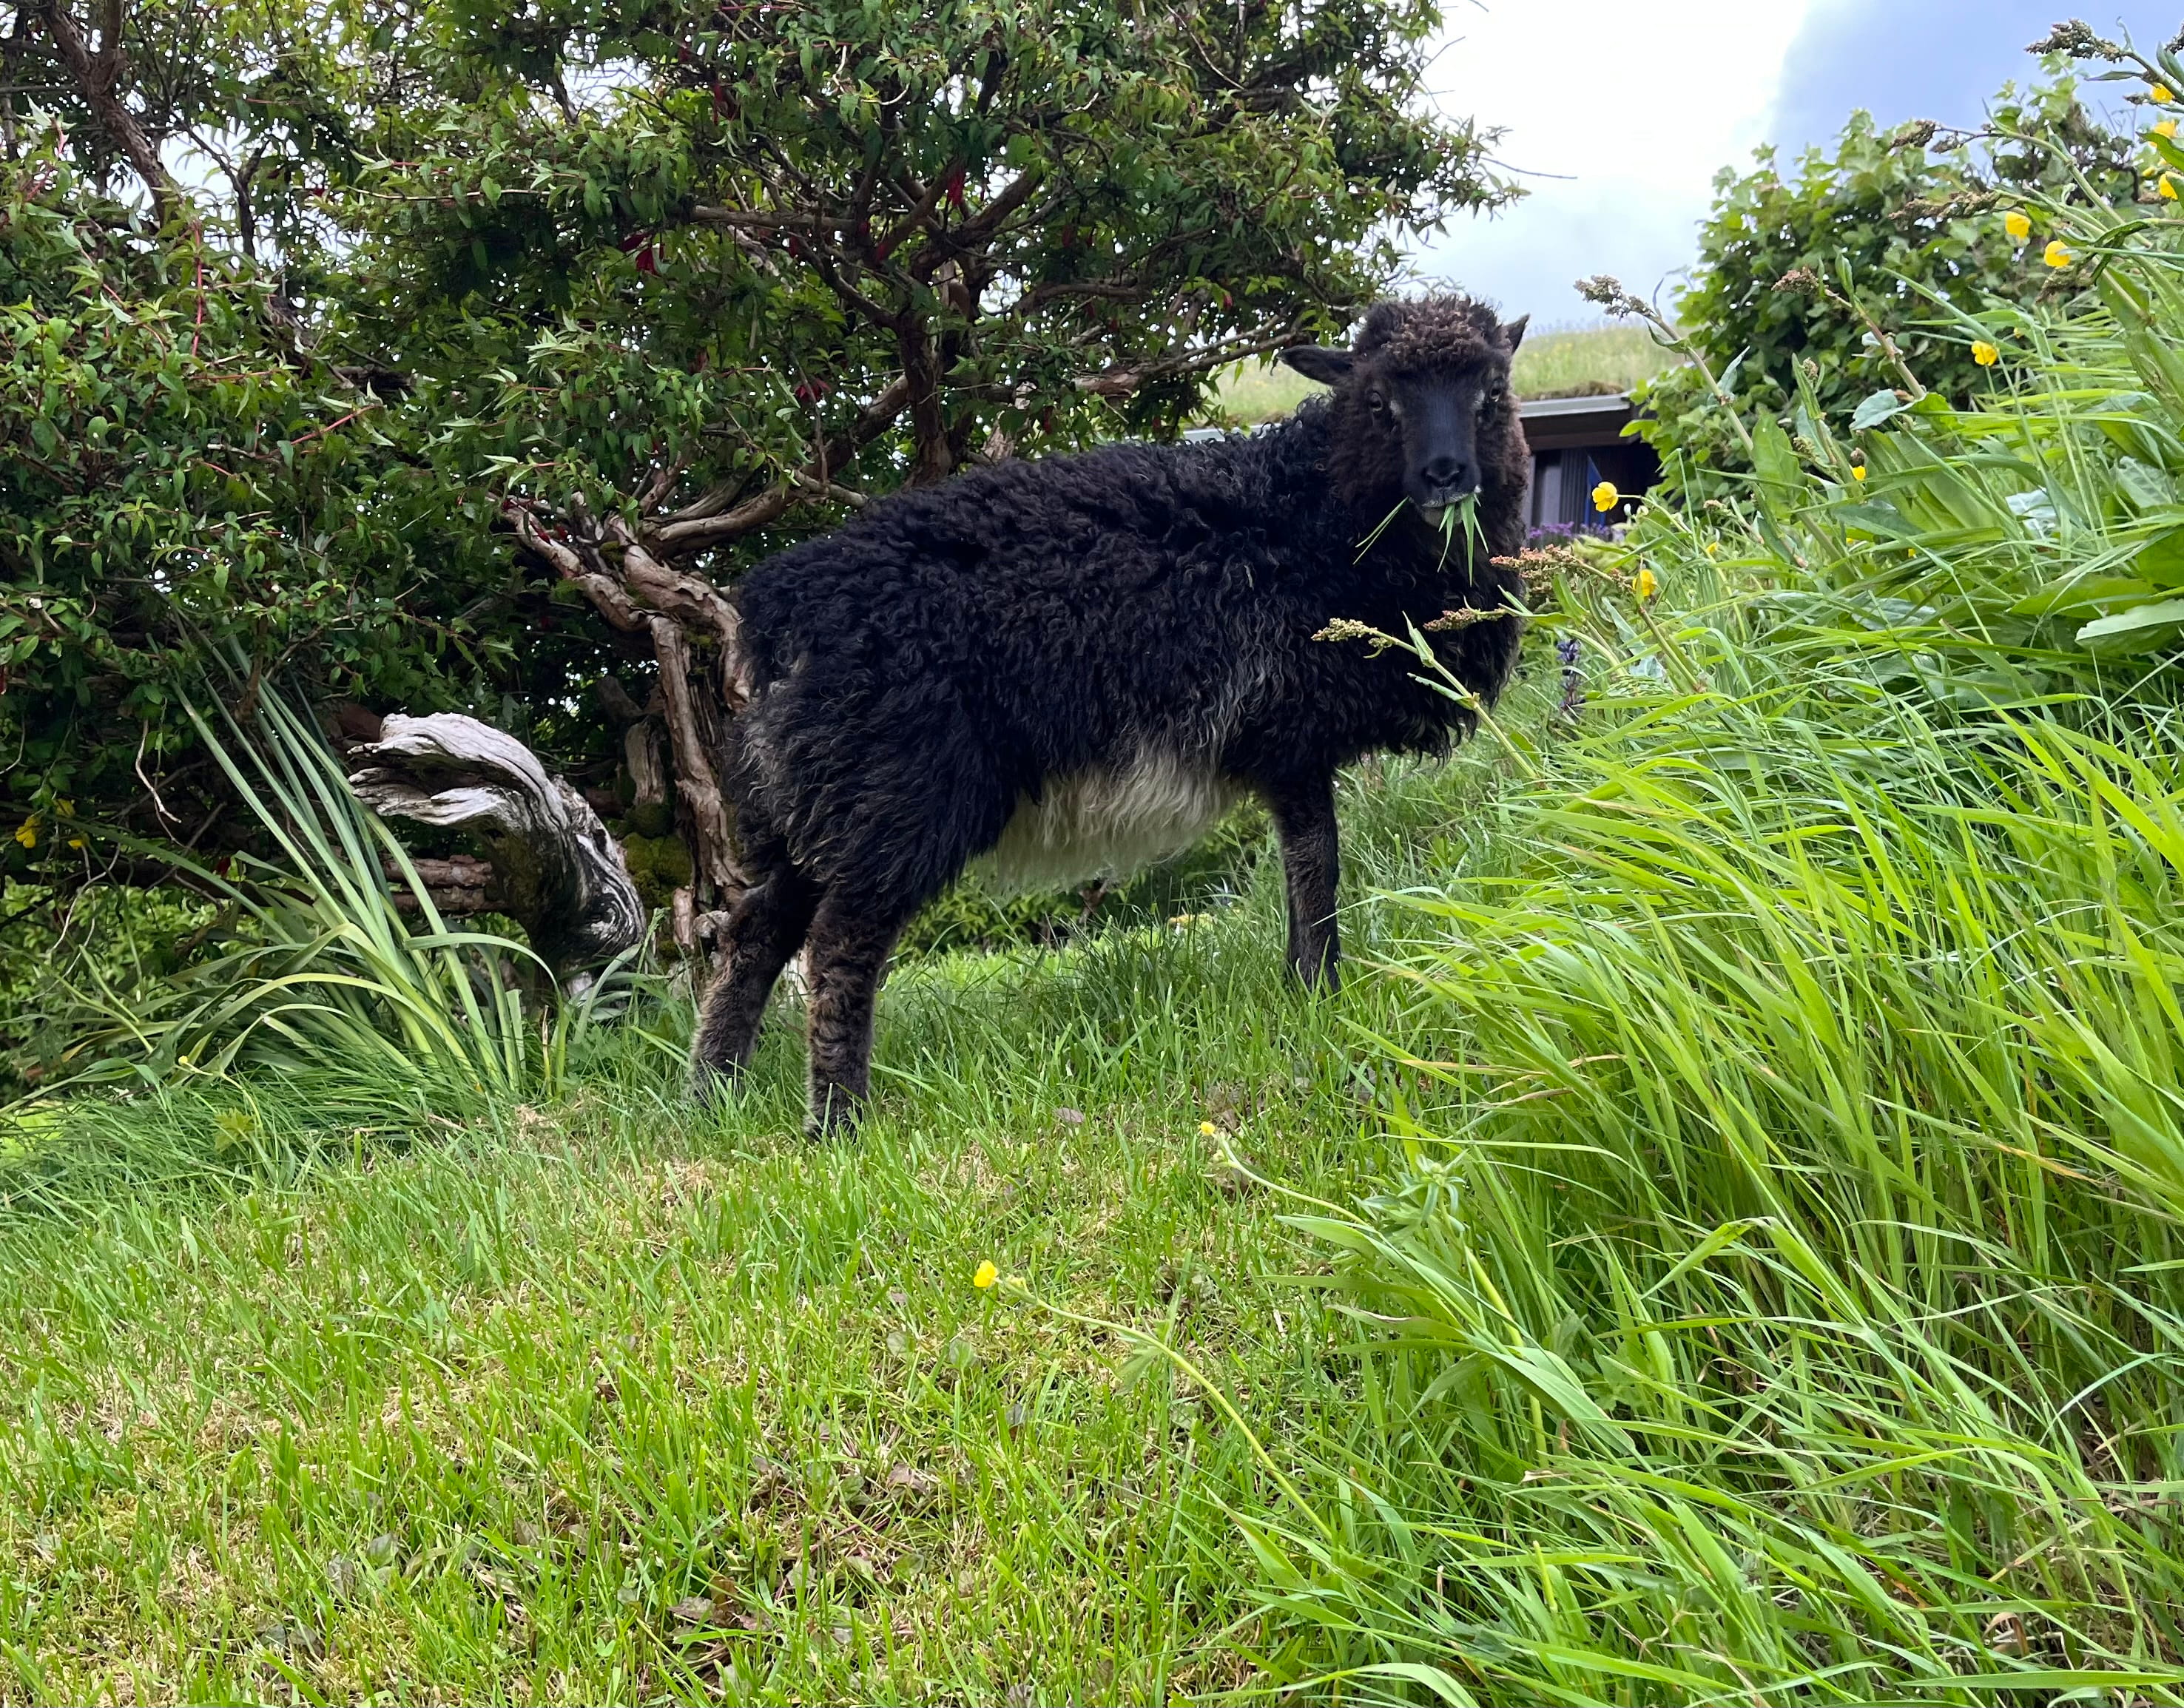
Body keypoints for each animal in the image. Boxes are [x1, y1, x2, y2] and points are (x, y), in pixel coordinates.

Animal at [694, 295, 1532, 1132]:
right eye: (1380, 399)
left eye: (1493, 390)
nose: (1446, 475)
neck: (1315, 516)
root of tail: (779, 610)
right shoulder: (1291, 731)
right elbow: (1316, 863)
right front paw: (1320, 992)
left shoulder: (1290, 745)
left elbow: (1306, 863)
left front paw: (1304, 988)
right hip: (897, 786)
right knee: (841, 940)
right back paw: (838, 1116)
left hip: (816, 796)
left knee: (757, 929)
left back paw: (714, 1087)